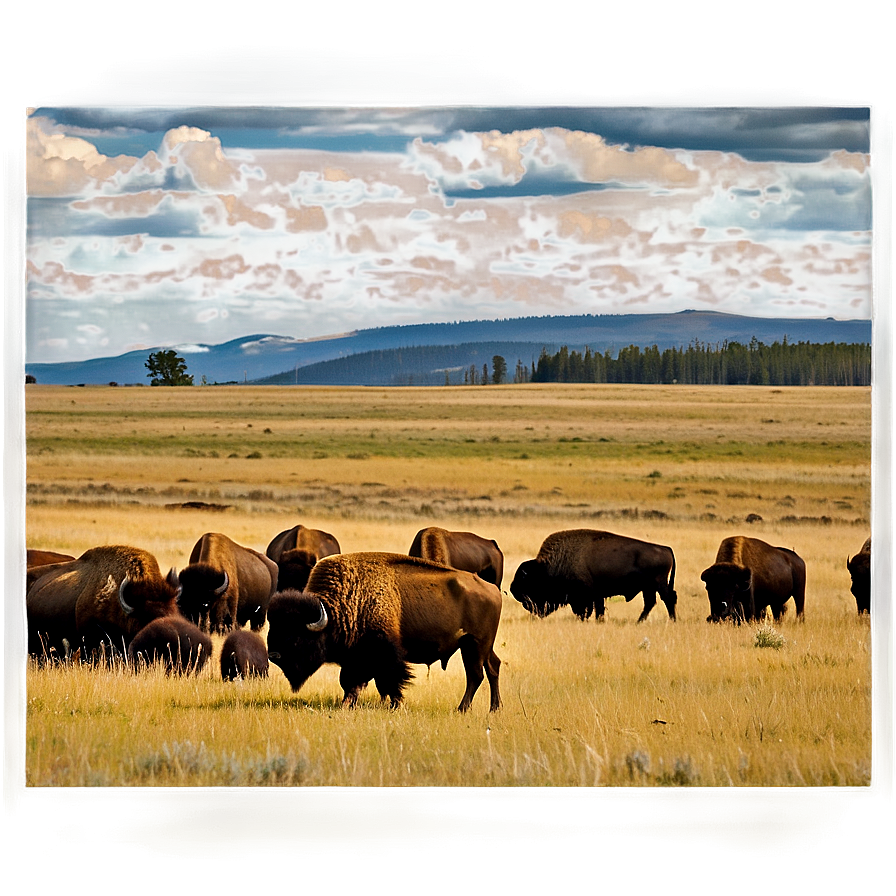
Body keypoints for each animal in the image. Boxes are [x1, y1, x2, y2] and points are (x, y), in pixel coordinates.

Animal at [266, 548, 504, 712]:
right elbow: (353, 682)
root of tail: (492, 589)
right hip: (481, 646)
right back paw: (494, 709)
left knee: (475, 675)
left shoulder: (383, 652)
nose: (273, 655)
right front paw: (351, 704)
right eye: (273, 627)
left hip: (474, 644)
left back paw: (462, 709)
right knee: (493, 668)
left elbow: (388, 679)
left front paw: (394, 704)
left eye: (296, 634)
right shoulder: (356, 657)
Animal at [508, 524, 676, 624]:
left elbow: (589, 610)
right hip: (648, 587)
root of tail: (666, 549)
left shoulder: (586, 596)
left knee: (667, 599)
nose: (513, 589)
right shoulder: (594, 596)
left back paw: (672, 620)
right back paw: (638, 622)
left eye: (529, 583)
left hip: (658, 583)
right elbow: (595, 610)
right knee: (650, 603)